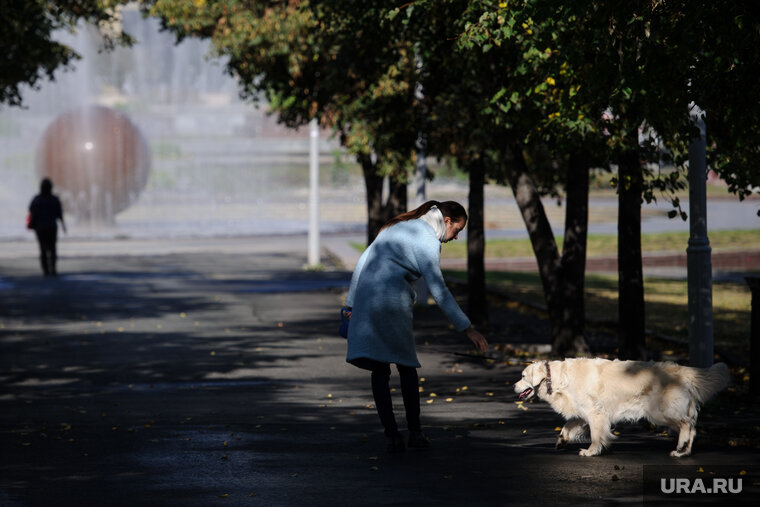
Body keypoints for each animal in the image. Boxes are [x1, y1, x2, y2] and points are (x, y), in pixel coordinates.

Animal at [512, 360, 728, 458]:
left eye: (522, 377)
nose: (513, 386)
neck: (556, 379)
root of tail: (683, 371)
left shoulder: (595, 413)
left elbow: (596, 435)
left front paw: (591, 451)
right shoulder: (582, 412)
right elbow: (568, 425)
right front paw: (562, 440)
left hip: (660, 412)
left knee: (687, 424)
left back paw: (681, 444)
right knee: (693, 428)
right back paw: (683, 452)